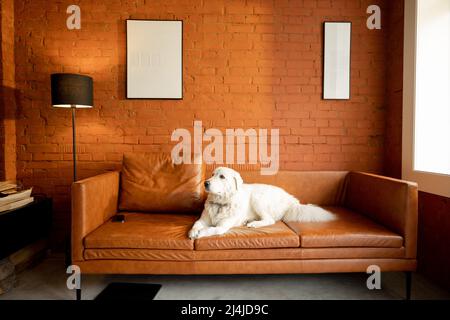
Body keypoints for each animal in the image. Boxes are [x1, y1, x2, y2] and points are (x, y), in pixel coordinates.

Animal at [188, 168, 336, 240]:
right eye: (212, 174)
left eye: (222, 177)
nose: (205, 183)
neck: (221, 203)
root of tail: (290, 200)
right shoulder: (202, 220)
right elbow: (196, 224)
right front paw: (193, 232)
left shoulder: (222, 226)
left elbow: (212, 229)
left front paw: (201, 233)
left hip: (257, 198)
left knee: (270, 220)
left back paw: (253, 224)